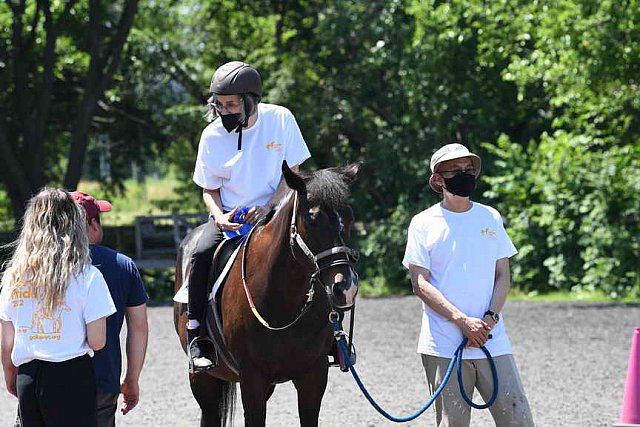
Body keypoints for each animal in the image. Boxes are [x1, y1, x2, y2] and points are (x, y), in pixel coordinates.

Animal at [174, 162, 360, 426]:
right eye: (311, 218)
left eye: (350, 217)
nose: (345, 288)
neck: (282, 302)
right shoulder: (252, 379)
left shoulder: (313, 375)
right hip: (203, 379)